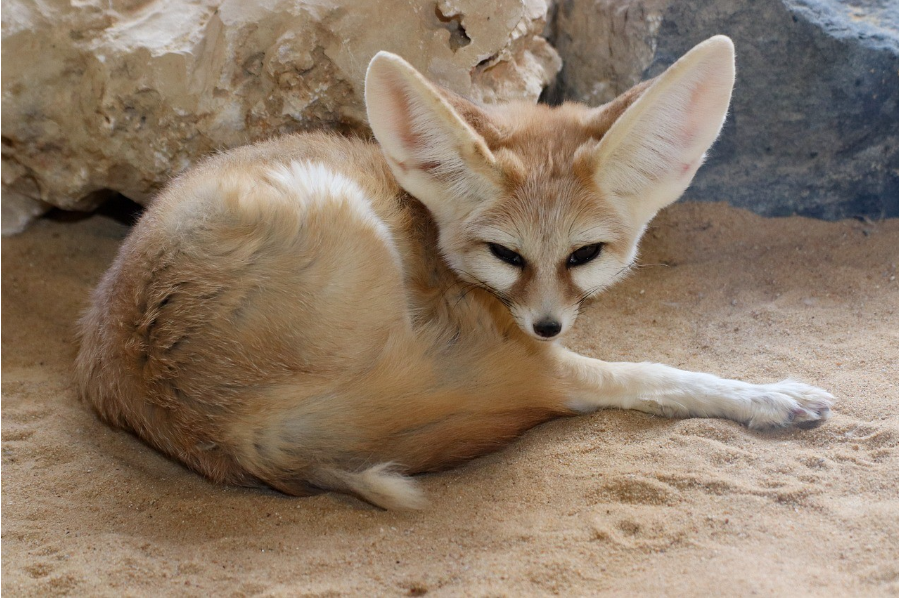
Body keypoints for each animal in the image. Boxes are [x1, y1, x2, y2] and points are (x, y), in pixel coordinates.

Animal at [75, 36, 833, 510]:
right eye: (507, 256)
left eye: (583, 255)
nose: (546, 325)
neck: (427, 221)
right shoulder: (534, 352)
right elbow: (660, 376)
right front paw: (764, 395)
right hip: (342, 214)